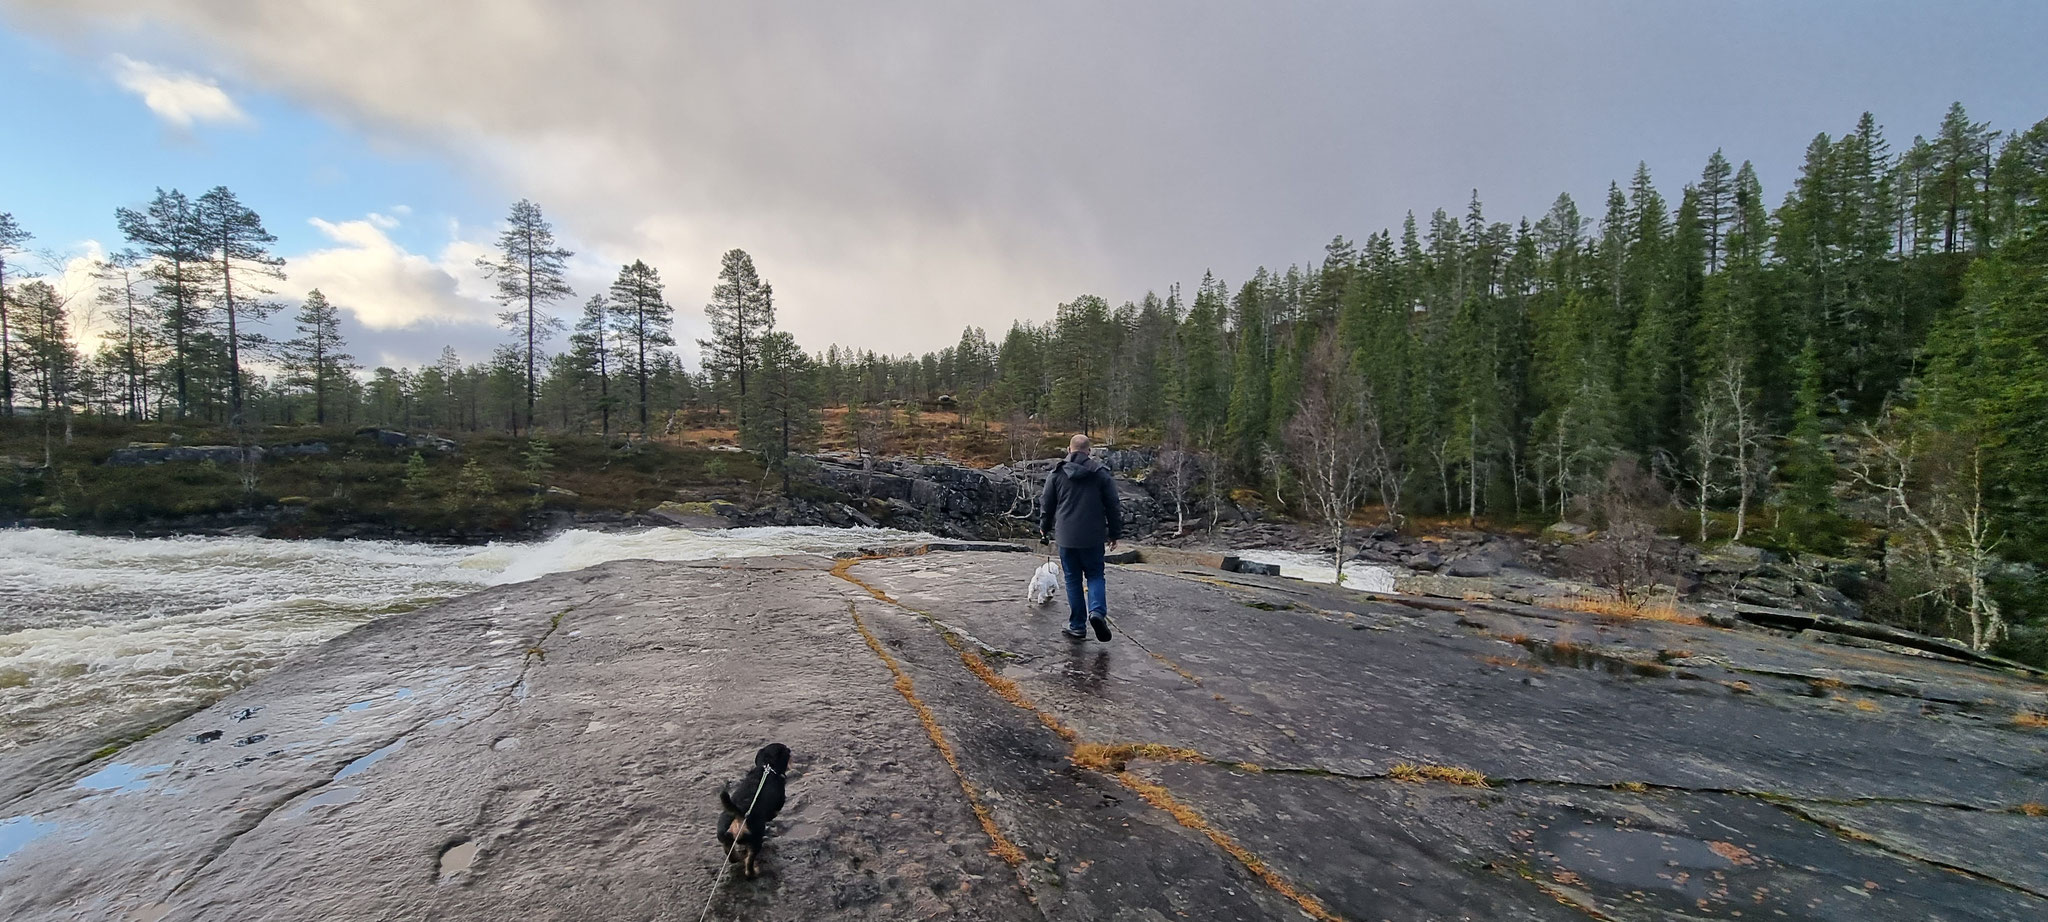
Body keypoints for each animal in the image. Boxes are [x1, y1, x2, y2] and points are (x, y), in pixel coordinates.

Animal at [716, 741, 786, 876]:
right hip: (755, 841)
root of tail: (739, 814)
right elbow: (774, 812)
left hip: (725, 839)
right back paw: (754, 872)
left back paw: (739, 858)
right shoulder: (779, 803)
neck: (766, 768)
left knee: (732, 856)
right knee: (749, 864)